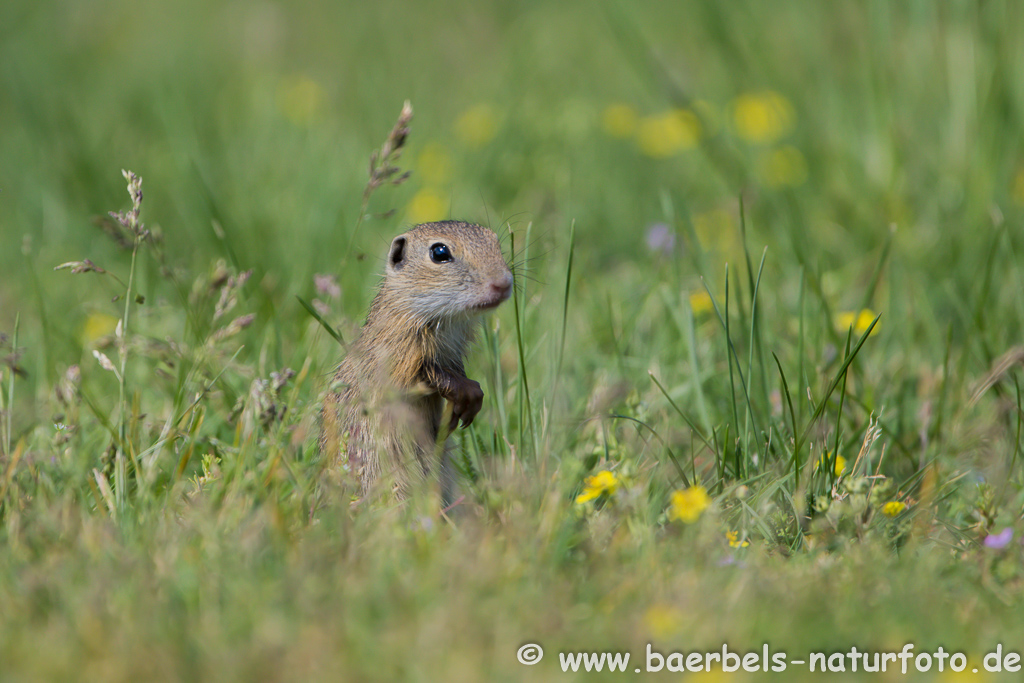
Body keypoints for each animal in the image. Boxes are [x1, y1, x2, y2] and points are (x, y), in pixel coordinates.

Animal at [319, 223, 512, 501]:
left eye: (495, 240)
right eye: (439, 252)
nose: (504, 283)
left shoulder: (452, 353)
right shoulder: (398, 356)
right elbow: (425, 376)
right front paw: (469, 394)